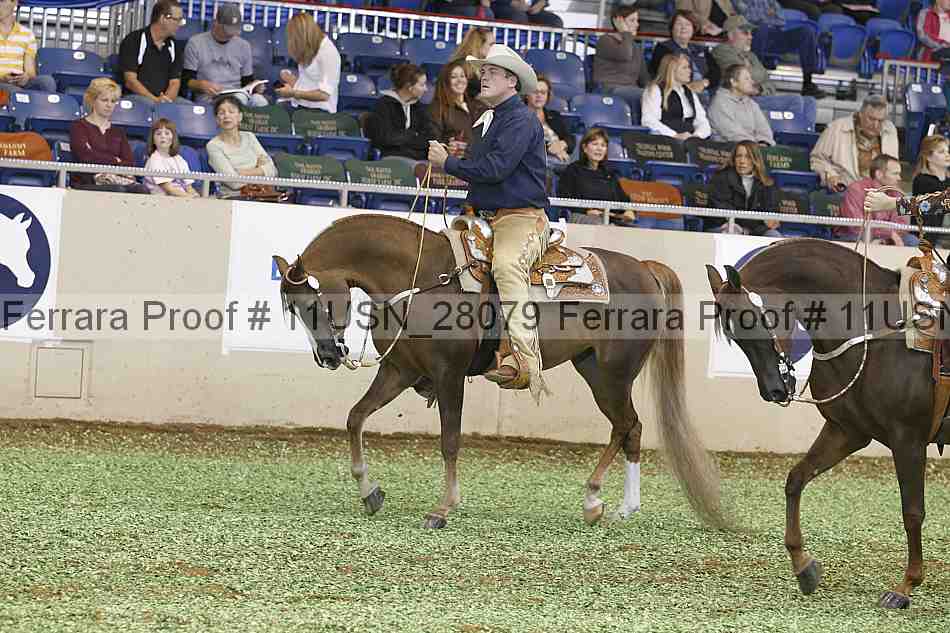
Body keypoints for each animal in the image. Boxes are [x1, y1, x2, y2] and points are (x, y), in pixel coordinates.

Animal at [273, 213, 725, 530]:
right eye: (292, 308)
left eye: (310, 304)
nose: (328, 356)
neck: (419, 278)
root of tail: (646, 268)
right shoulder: (399, 371)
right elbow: (355, 418)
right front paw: (370, 491)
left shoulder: (449, 375)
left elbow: (450, 442)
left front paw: (442, 508)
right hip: (593, 369)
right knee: (628, 428)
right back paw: (608, 505)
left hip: (614, 375)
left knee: (628, 425)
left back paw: (604, 502)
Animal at [705, 237, 942, 609]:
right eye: (734, 335)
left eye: (752, 321)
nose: (773, 390)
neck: (874, 333)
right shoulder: (846, 431)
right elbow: (796, 479)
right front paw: (803, 565)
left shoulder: (908, 439)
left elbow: (912, 511)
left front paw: (906, 585)